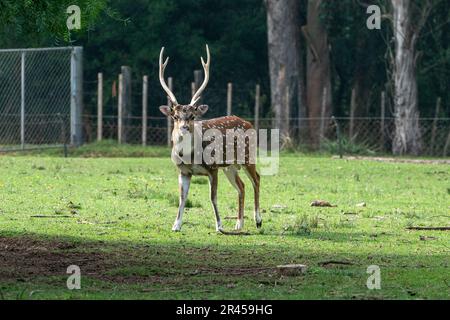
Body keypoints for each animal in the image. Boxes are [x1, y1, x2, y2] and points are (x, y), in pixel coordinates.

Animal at [160, 44, 262, 232]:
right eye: (175, 116)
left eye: (192, 116)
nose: (184, 128)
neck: (190, 156)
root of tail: (249, 123)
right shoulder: (183, 171)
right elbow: (182, 198)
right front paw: (176, 225)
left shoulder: (213, 168)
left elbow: (212, 197)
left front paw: (219, 225)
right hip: (230, 166)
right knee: (242, 186)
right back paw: (238, 224)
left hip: (248, 156)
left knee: (256, 179)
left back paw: (258, 220)